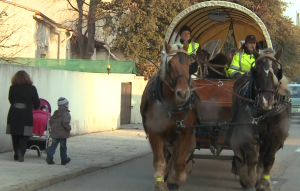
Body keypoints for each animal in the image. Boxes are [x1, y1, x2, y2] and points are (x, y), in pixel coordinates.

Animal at [140, 41, 199, 190]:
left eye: (189, 65)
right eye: (170, 65)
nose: (183, 93)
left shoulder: (185, 132)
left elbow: (179, 161)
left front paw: (175, 180)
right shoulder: (155, 132)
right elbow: (160, 160)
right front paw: (160, 183)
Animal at [229, 47, 292, 190]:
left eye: (277, 71)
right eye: (256, 71)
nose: (265, 102)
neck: (266, 113)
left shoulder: (276, 137)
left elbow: (268, 159)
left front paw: (264, 183)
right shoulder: (248, 134)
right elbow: (252, 158)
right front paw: (249, 180)